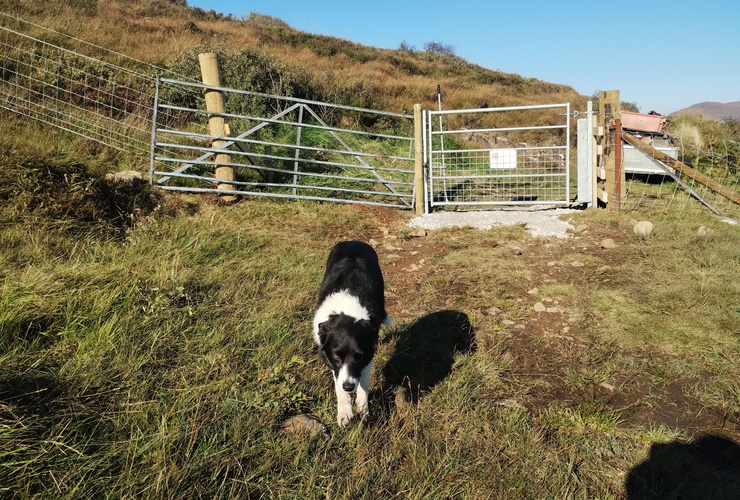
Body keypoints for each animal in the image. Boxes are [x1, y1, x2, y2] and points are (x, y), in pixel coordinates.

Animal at [312, 241, 394, 426]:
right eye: (337, 355)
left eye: (359, 356)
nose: (349, 387)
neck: (347, 310)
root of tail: (354, 241)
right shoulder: (334, 362)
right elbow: (338, 384)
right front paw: (344, 412)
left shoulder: (368, 356)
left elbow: (364, 385)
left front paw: (363, 410)